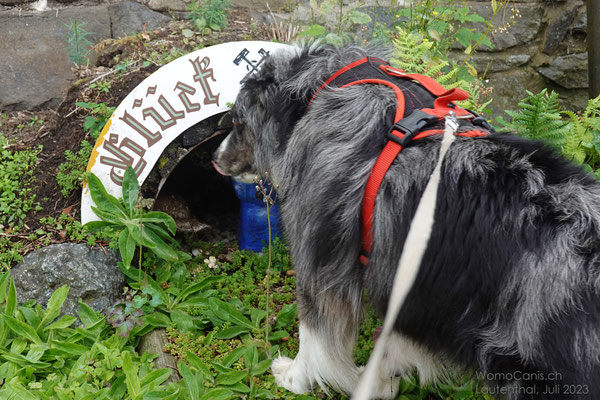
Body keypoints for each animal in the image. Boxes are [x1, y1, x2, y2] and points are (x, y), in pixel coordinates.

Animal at [211, 42, 600, 398]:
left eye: (236, 122)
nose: (214, 158)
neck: (323, 85)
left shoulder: (319, 262)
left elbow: (314, 338)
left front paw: (294, 377)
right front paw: (379, 384)